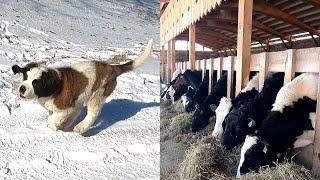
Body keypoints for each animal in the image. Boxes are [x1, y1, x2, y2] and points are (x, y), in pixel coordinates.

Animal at [11, 39, 152, 135]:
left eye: (35, 83)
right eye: (25, 78)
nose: (22, 88)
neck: (51, 88)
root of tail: (111, 67)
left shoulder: (64, 107)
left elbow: (53, 118)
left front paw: (53, 126)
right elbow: (53, 115)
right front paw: (58, 125)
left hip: (98, 94)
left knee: (92, 114)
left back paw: (80, 127)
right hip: (81, 96)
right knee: (78, 110)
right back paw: (67, 124)